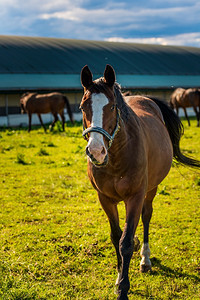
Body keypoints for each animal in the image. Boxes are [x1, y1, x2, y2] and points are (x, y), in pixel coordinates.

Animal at [80, 65, 200, 300]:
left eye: (113, 106)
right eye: (82, 107)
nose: (96, 152)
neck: (117, 158)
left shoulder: (134, 197)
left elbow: (125, 242)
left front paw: (123, 289)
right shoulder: (105, 199)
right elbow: (116, 237)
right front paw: (118, 278)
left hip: (151, 189)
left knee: (146, 217)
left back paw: (145, 258)